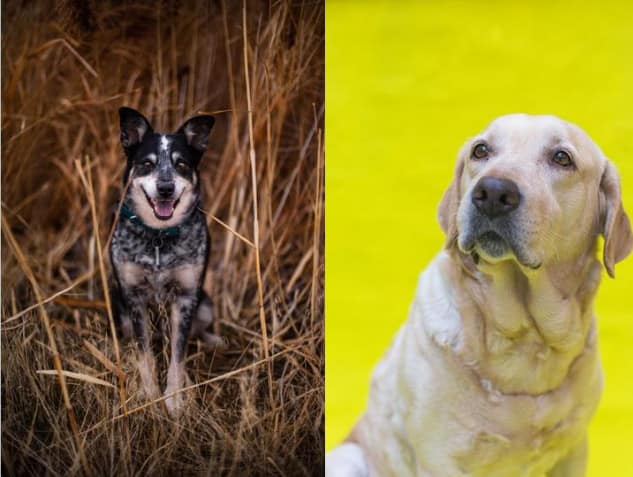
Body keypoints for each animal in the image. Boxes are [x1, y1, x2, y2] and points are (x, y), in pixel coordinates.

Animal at [110, 108, 222, 416]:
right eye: (147, 164)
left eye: (181, 164)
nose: (165, 188)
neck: (159, 237)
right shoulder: (133, 298)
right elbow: (144, 353)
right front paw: (149, 395)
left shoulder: (186, 298)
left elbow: (178, 355)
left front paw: (174, 399)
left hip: (205, 304)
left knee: (198, 330)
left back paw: (213, 341)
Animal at [328, 115, 628, 476]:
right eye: (481, 150)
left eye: (562, 158)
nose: (493, 192)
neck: (524, 338)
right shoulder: (441, 458)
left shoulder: (572, 450)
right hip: (348, 457)